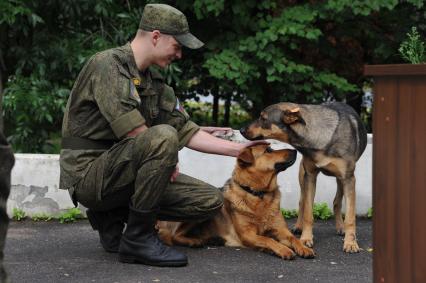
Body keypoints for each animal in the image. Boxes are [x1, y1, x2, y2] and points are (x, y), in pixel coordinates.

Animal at [158, 145, 314, 260]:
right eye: (269, 150)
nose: (295, 150)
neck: (258, 194)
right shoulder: (248, 234)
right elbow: (268, 239)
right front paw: (282, 249)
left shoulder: (280, 230)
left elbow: (293, 238)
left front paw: (303, 247)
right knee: (174, 236)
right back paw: (194, 241)